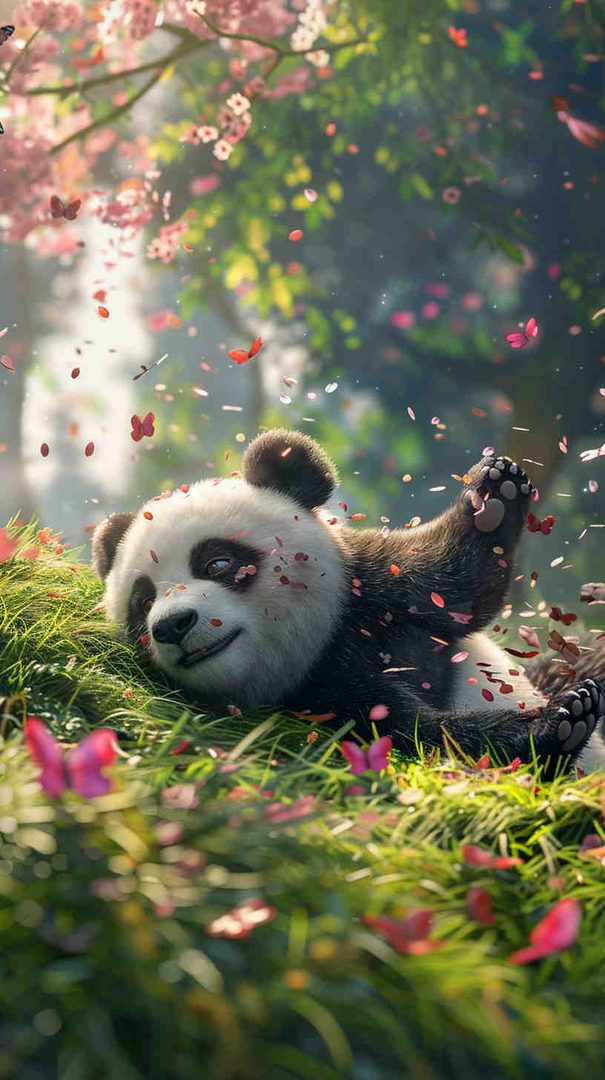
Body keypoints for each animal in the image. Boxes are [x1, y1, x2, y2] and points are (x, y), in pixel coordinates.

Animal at [92, 428, 605, 772]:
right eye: (143, 603)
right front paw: (559, 722)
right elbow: (420, 737)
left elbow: (458, 585)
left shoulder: (368, 590)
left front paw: (495, 494)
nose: (172, 625)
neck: (310, 656)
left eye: (216, 563)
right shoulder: (327, 704)